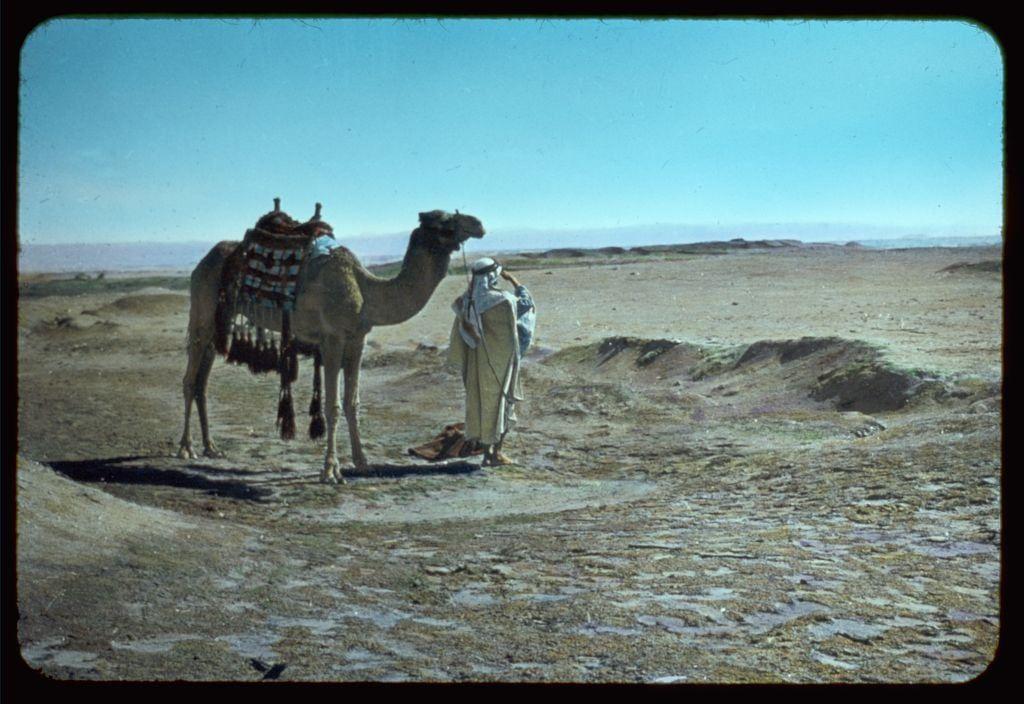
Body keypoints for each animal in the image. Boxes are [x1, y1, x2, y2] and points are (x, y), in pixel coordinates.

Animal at [177, 209, 485, 483]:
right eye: (445, 220)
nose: (479, 224)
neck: (366, 290)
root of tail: (203, 262)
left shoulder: (357, 340)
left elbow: (352, 402)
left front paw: (362, 463)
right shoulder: (332, 339)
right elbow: (332, 405)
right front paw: (330, 471)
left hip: (221, 320)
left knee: (203, 382)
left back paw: (211, 447)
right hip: (203, 311)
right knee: (190, 380)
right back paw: (186, 448)